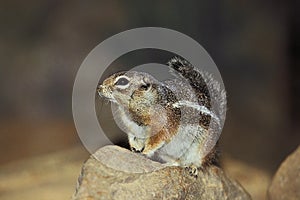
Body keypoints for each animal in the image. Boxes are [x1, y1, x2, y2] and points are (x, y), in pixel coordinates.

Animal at [97, 56, 226, 177]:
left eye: (123, 82)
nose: (99, 88)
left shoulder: (162, 126)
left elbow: (157, 140)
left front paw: (144, 152)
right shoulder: (132, 127)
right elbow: (133, 138)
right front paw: (135, 149)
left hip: (203, 148)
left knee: (199, 161)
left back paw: (192, 167)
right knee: (177, 162)